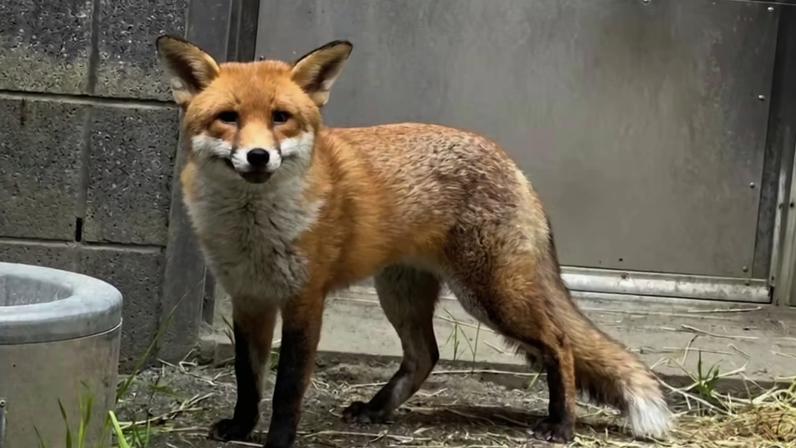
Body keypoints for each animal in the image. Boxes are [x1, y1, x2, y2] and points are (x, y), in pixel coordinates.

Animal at [155, 35, 672, 447]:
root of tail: (511, 163)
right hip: (401, 293)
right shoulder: (250, 299)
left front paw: (278, 441)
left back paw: (562, 424)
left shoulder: (305, 301)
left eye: (281, 117)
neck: (253, 231)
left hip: (492, 297)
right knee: (426, 356)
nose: (259, 156)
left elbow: (286, 391)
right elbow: (248, 379)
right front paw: (241, 428)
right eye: (228, 117)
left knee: (560, 344)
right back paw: (377, 409)